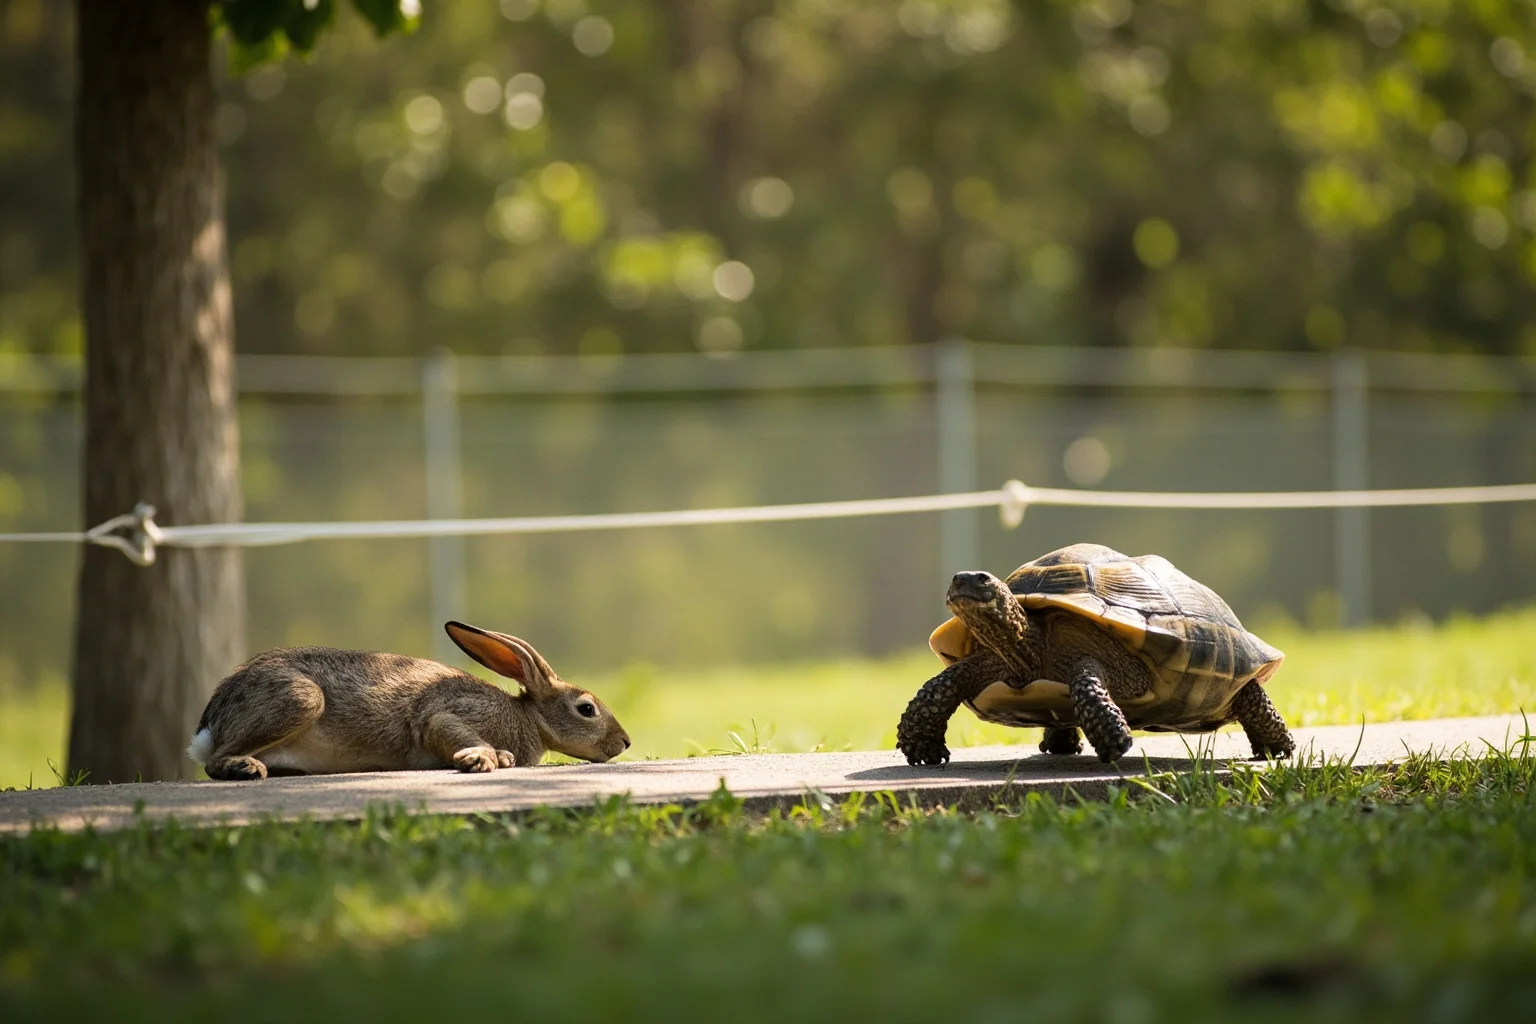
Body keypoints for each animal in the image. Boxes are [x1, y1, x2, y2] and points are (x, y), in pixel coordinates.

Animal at [187, 621, 630, 780]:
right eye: (586, 709)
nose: (625, 742)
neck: (527, 718)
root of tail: (209, 723)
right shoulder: (449, 714)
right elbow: (444, 726)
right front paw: (482, 758)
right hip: (300, 699)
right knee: (214, 761)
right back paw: (245, 768)